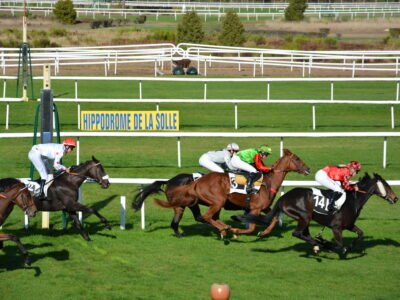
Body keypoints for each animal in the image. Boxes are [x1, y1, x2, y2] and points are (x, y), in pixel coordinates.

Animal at [139, 149, 310, 238]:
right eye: (297, 159)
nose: (308, 169)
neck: (267, 182)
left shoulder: (264, 207)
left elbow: (273, 219)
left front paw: (263, 232)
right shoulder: (254, 208)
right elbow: (251, 227)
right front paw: (235, 230)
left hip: (189, 204)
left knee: (195, 218)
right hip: (215, 202)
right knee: (206, 216)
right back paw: (224, 229)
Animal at [234, 172, 396, 256]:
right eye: (387, 186)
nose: (395, 198)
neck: (352, 200)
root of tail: (284, 197)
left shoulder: (349, 225)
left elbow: (361, 234)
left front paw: (349, 246)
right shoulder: (336, 227)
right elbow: (340, 246)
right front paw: (330, 245)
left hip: (304, 218)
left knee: (303, 233)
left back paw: (316, 244)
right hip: (304, 216)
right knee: (297, 233)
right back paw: (317, 244)